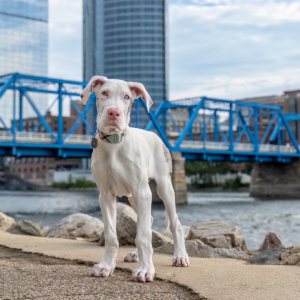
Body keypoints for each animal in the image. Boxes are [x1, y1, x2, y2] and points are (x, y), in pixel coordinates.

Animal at [79, 76, 188, 282]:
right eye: (104, 93)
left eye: (126, 97)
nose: (114, 113)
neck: (114, 144)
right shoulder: (105, 195)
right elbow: (112, 235)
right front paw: (106, 266)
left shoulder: (142, 191)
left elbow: (143, 235)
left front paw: (145, 270)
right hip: (133, 196)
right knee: (149, 219)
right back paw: (136, 255)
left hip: (162, 188)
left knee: (175, 223)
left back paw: (180, 256)